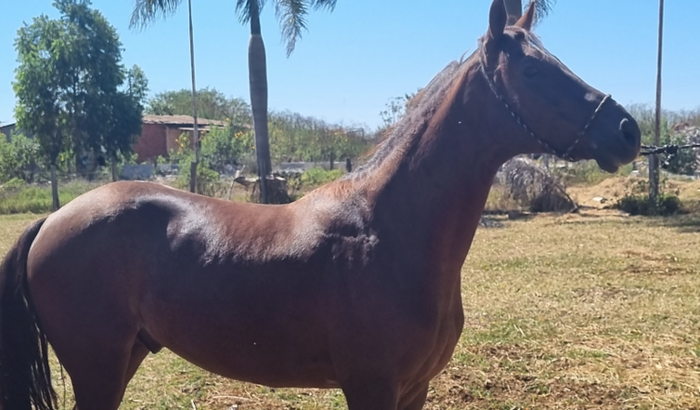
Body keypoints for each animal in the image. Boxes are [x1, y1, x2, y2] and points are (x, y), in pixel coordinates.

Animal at [0, 1, 640, 409]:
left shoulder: (414, 390)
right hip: (99, 368)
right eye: (532, 68)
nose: (627, 130)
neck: (391, 233)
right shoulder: (372, 388)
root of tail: (52, 220)